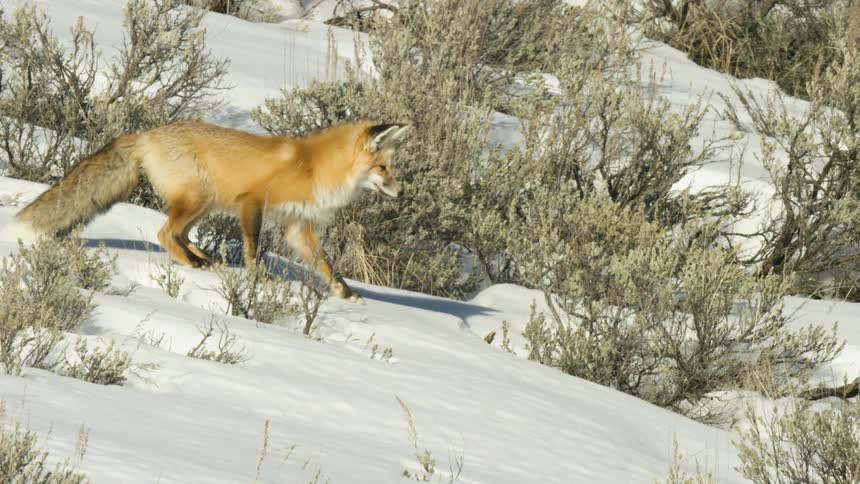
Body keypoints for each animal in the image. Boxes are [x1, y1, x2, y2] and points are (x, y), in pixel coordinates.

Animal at [15, 120, 411, 302]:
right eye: (382, 168)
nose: (400, 190)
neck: (314, 168)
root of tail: (147, 133)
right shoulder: (252, 201)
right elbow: (253, 248)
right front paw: (259, 279)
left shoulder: (297, 226)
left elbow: (326, 263)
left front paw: (344, 293)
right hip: (200, 198)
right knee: (165, 233)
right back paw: (194, 264)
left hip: (204, 204)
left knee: (181, 234)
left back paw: (206, 260)